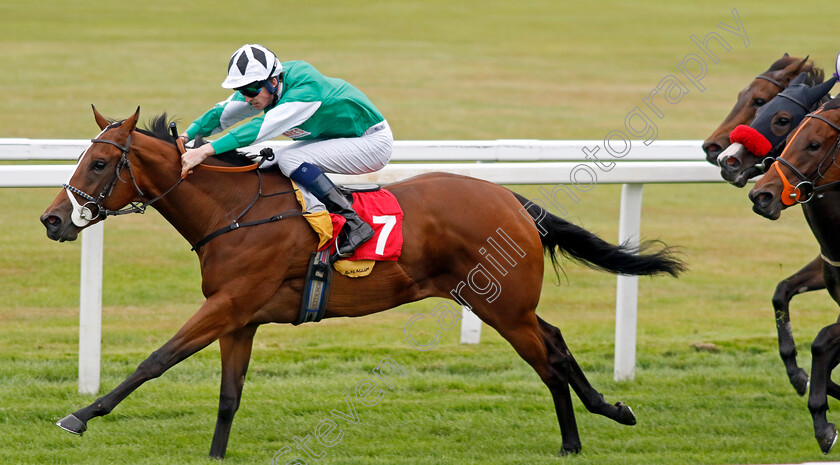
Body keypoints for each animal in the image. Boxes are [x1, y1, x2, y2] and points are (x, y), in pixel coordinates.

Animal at [37, 107, 688, 458]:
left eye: (100, 163)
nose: (52, 220)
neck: (234, 210)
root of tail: (511, 199)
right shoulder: (240, 316)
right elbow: (228, 394)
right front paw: (216, 455)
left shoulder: (229, 303)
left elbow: (156, 359)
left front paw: (80, 415)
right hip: (499, 301)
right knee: (554, 342)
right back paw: (600, 418)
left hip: (502, 306)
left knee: (547, 358)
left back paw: (586, 430)